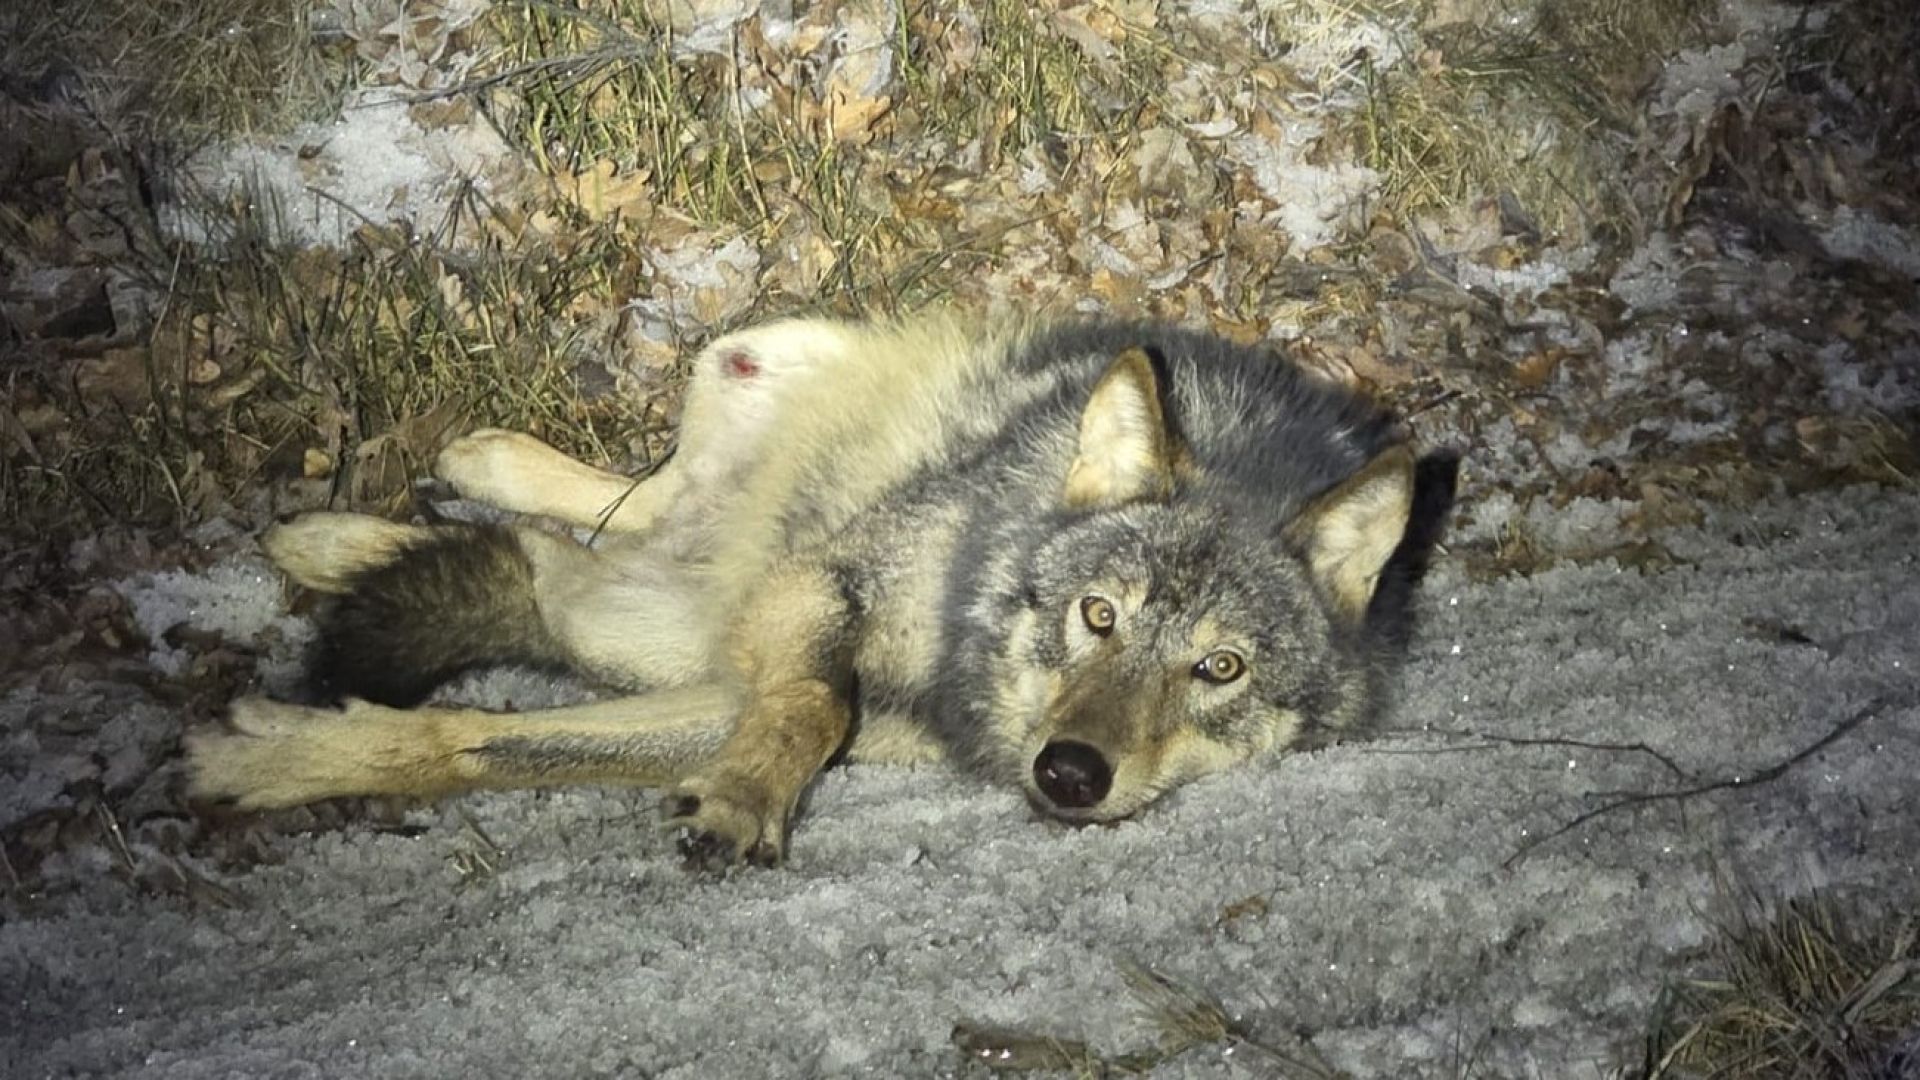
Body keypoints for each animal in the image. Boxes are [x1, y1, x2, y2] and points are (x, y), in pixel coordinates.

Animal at [185, 313, 1451, 867]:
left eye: (1218, 669)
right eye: (1098, 616)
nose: (1069, 775)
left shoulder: (828, 703)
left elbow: (494, 744)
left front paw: (276, 756)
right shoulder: (822, 587)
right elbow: (805, 703)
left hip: (658, 626)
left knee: (563, 564)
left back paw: (342, 545)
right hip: (754, 375)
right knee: (632, 497)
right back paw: (383, 508)